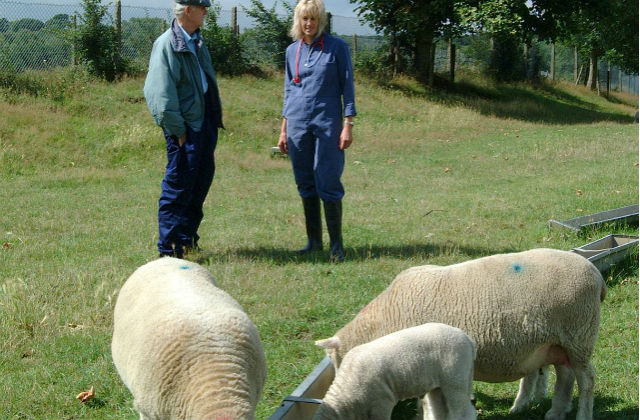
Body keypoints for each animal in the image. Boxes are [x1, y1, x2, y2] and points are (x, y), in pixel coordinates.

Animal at [312, 324, 478, 420]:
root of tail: (467, 338)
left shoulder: (381, 403)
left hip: (455, 376)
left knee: (463, 412)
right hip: (440, 384)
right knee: (439, 410)